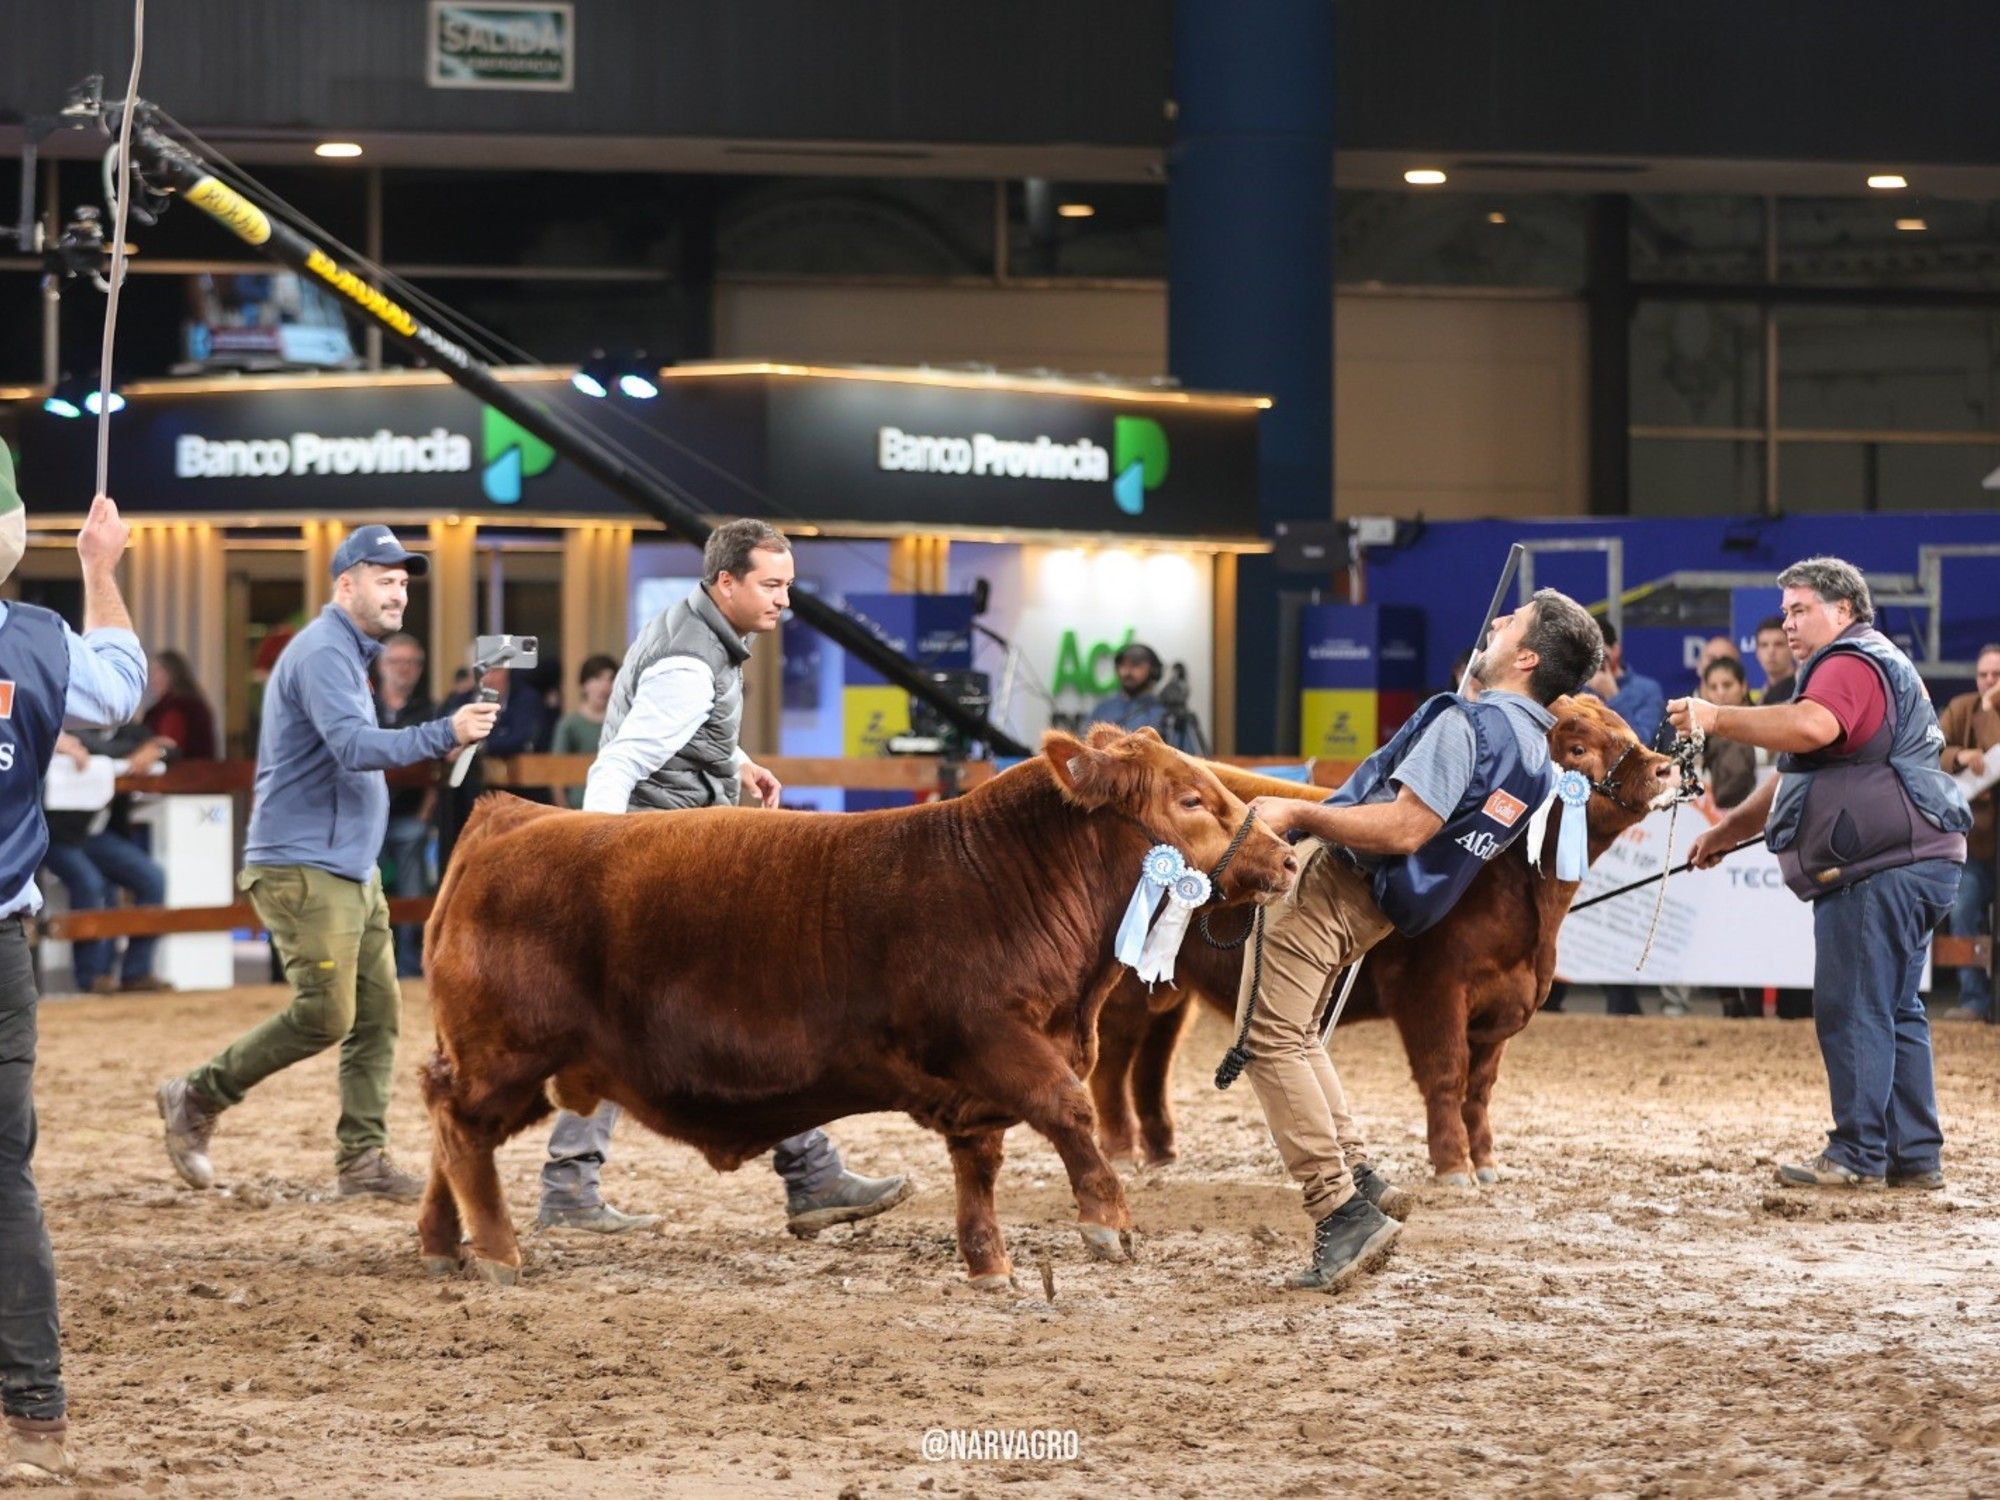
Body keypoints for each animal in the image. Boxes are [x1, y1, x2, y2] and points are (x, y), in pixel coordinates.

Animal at [418, 727, 1298, 1289]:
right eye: (1191, 798)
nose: (1285, 856)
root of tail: (514, 815)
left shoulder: (979, 1082)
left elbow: (979, 1161)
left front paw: (990, 1264)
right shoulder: (995, 1040)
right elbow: (1068, 1109)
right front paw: (1107, 1224)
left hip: (510, 1063)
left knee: (445, 1125)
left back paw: (441, 1242)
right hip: (508, 1052)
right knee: (459, 1127)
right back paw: (496, 1252)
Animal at [1089, 695, 1681, 1184]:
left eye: (1624, 726)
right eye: (1578, 747)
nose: (1664, 767)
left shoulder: (1503, 1006)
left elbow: (1480, 1087)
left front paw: (1486, 1161)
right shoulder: (1433, 990)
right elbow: (1447, 1075)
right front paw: (1454, 1167)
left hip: (1170, 990)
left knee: (1152, 1063)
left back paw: (1162, 1151)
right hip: (1123, 988)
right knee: (1113, 1059)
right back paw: (1120, 1150)